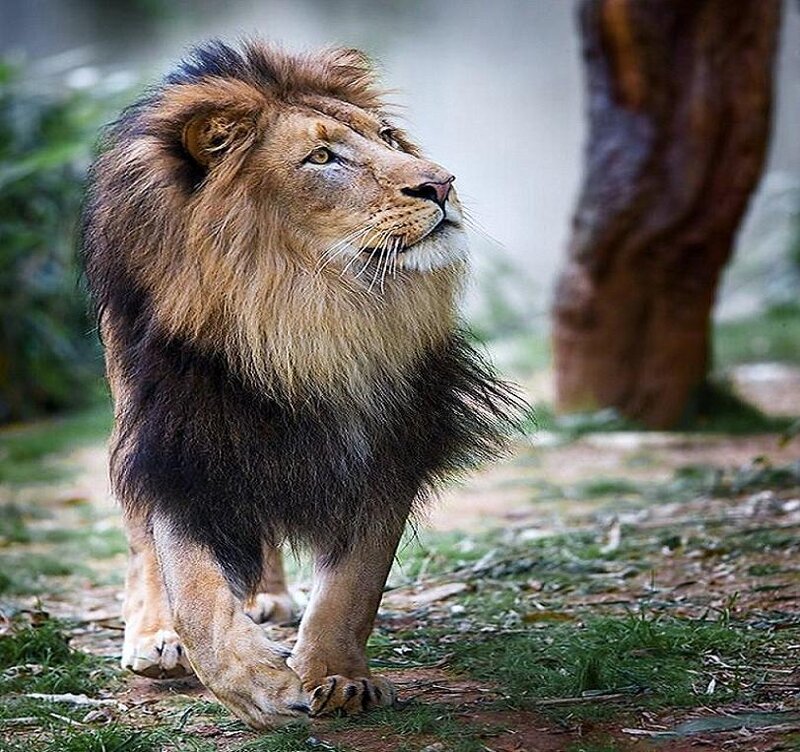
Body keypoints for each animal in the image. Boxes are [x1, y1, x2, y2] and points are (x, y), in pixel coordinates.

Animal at [82, 39, 523, 728]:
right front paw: (254, 682)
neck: (304, 308)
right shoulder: (179, 437)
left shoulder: (386, 440)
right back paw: (157, 636)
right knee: (143, 543)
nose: (442, 183)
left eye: (388, 136)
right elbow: (191, 583)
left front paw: (337, 676)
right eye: (321, 157)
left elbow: (354, 583)